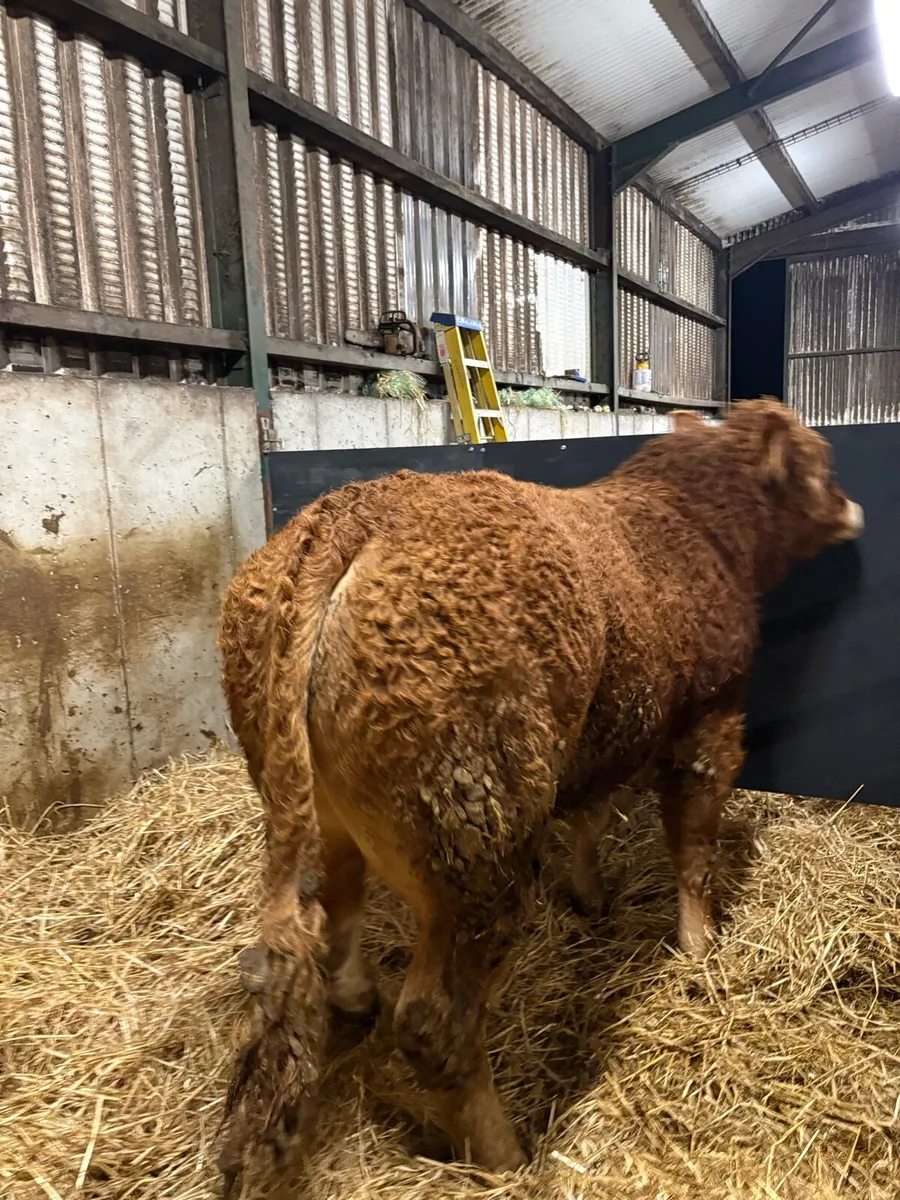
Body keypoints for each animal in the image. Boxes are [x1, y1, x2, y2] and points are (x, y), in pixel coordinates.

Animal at [216, 399, 863, 1192]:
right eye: (821, 464)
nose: (856, 506)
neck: (690, 522)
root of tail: (354, 512)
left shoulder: (605, 730)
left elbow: (591, 813)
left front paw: (590, 891)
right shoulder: (709, 716)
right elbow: (692, 843)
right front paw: (700, 943)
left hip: (328, 810)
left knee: (337, 903)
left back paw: (357, 995)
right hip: (475, 842)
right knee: (436, 1021)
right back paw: (503, 1156)